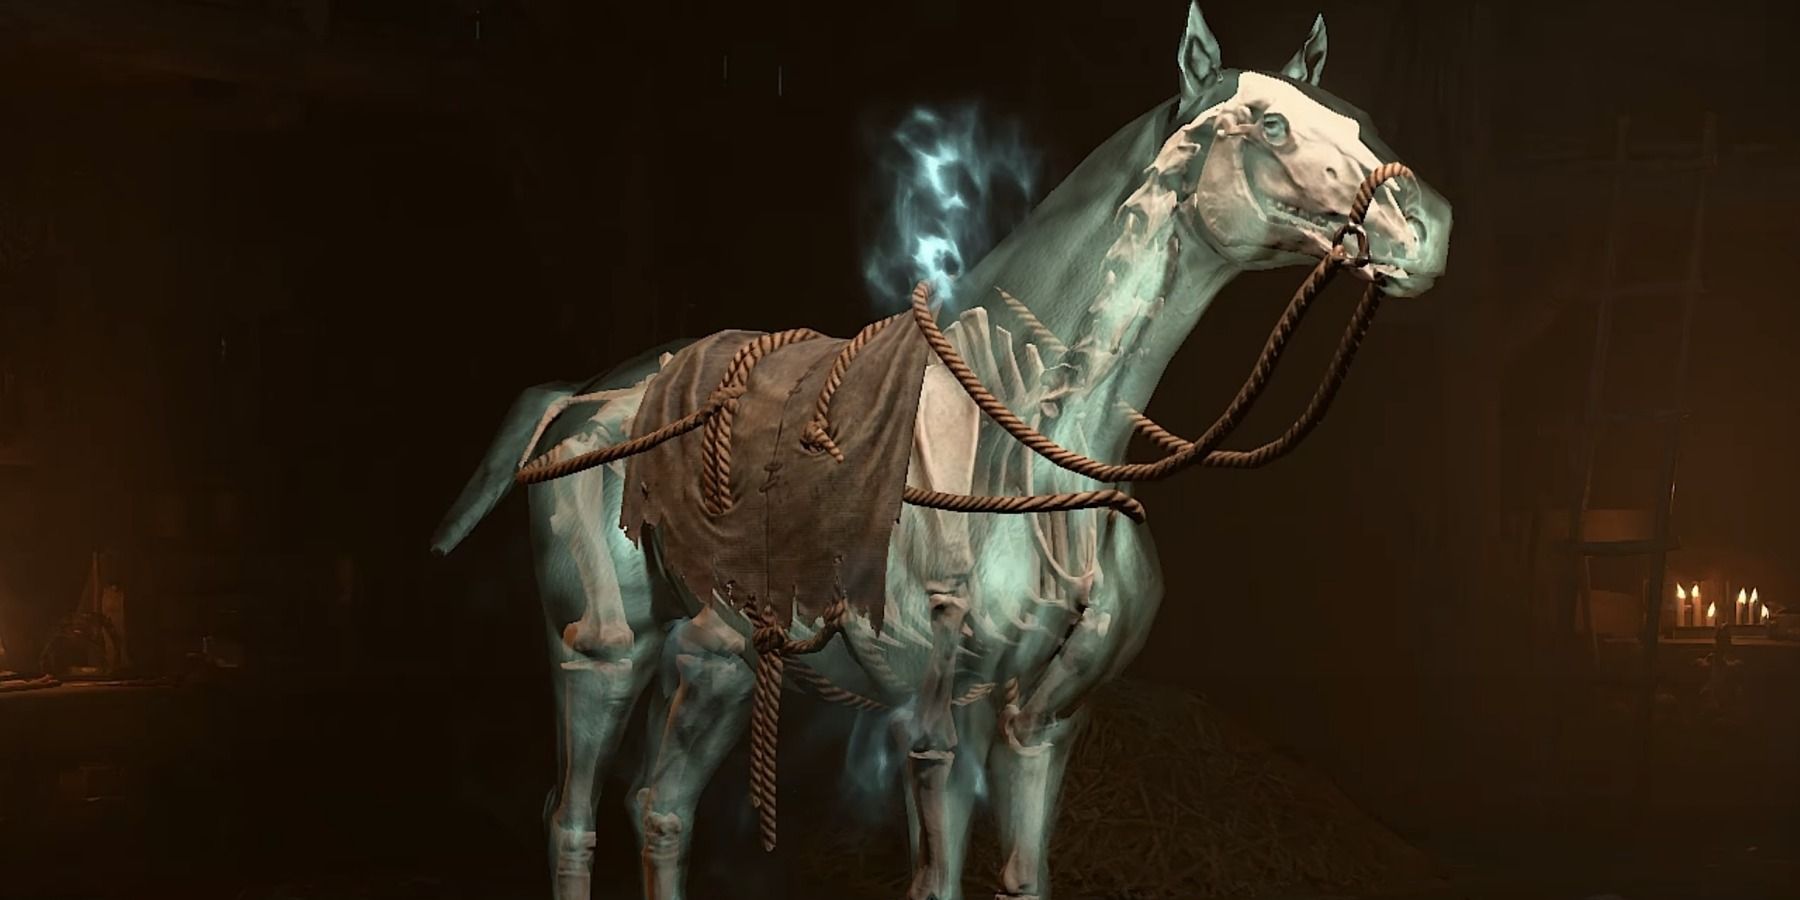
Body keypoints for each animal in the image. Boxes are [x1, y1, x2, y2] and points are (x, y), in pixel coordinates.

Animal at [431, 6, 1451, 899]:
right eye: (1271, 123)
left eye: (1354, 119)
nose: (1427, 228)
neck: (1036, 449)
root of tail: (583, 398)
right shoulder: (937, 728)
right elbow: (937, 880)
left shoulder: (1045, 727)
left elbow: (1025, 878)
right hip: (602, 654)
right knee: (573, 816)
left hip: (716, 663)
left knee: (660, 807)